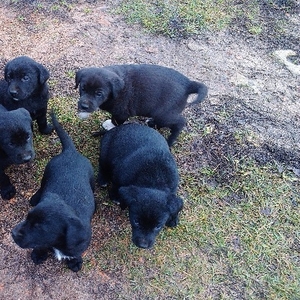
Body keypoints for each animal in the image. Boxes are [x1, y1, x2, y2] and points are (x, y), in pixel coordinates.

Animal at [11, 112, 95, 272]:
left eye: (39, 228)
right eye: (27, 217)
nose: (12, 233)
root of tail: (70, 151)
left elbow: (75, 252)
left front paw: (75, 261)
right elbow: (42, 246)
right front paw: (38, 254)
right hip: (47, 174)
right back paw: (35, 198)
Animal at [75, 64, 207, 146]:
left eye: (99, 94)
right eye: (83, 88)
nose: (83, 106)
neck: (115, 93)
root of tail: (188, 84)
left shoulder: (122, 113)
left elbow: (116, 122)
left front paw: (108, 126)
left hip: (163, 114)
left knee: (180, 122)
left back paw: (170, 141)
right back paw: (151, 123)